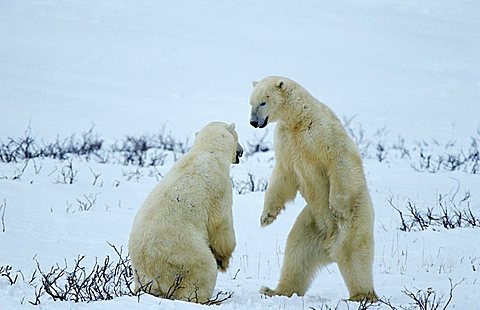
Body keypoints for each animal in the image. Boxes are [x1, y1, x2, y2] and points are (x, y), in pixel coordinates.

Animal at [127, 121, 244, 302]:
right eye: (238, 137)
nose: (242, 151)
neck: (208, 151)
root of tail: (153, 274)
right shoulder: (220, 186)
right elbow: (221, 224)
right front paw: (224, 261)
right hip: (184, 253)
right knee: (203, 271)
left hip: (141, 274)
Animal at [249, 76, 376, 302]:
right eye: (250, 103)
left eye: (263, 102)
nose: (253, 122)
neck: (299, 119)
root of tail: (328, 246)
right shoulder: (286, 141)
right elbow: (283, 174)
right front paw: (267, 217)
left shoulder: (322, 132)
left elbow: (340, 159)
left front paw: (337, 207)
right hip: (311, 223)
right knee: (296, 253)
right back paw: (274, 290)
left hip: (355, 219)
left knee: (352, 253)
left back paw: (362, 295)